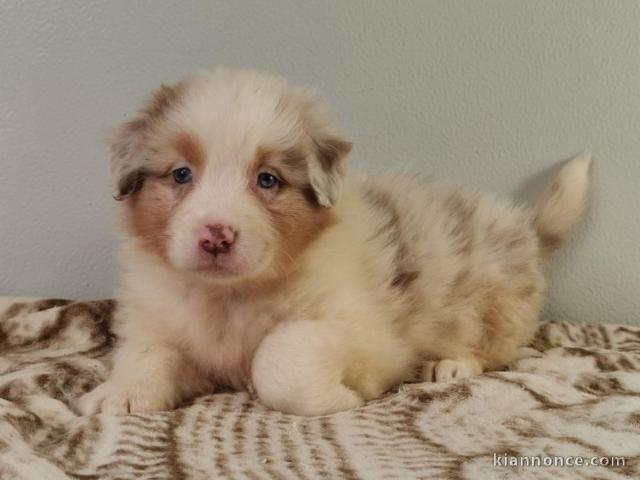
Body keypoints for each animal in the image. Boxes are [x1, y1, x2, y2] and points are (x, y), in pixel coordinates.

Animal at [79, 66, 592, 416]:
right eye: (182, 174)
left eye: (267, 180)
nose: (216, 236)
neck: (231, 296)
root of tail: (523, 225)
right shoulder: (165, 324)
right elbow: (147, 353)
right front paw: (121, 393)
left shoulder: (368, 334)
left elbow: (280, 353)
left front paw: (337, 397)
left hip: (490, 303)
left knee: (493, 347)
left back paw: (451, 364)